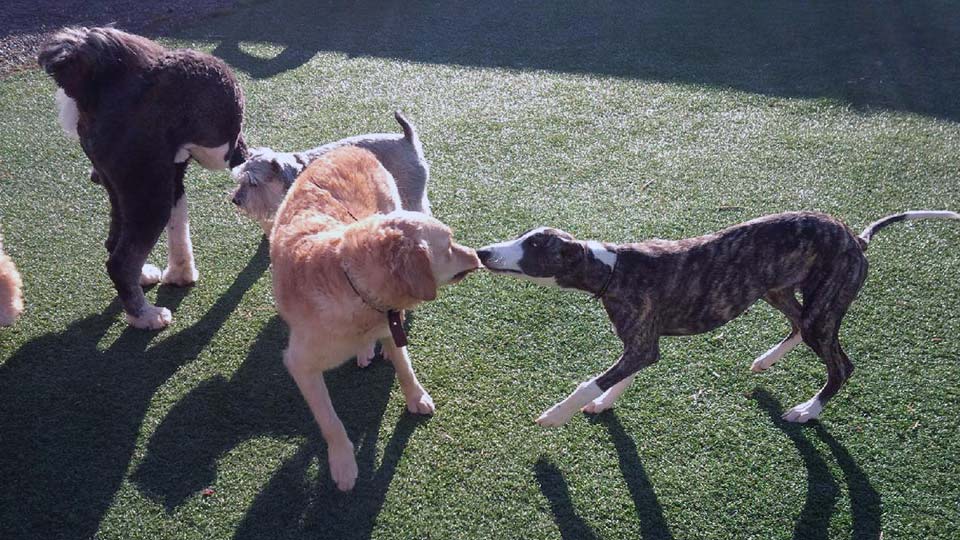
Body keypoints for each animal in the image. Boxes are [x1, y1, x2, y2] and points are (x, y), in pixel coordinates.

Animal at [39, 27, 249, 330]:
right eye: (234, 126)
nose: (240, 154)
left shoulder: (171, 178)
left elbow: (179, 227)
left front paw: (181, 273)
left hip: (125, 186)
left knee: (114, 243)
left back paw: (141, 279)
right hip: (148, 195)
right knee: (120, 262)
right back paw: (144, 315)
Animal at [270, 146, 480, 492]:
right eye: (449, 246)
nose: (479, 256)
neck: (353, 286)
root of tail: (350, 147)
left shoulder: (390, 323)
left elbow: (405, 368)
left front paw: (416, 397)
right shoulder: (300, 365)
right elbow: (331, 421)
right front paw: (343, 463)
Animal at [480, 211, 960, 426]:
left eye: (533, 247)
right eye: (524, 237)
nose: (483, 252)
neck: (613, 266)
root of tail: (855, 239)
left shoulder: (643, 343)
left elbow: (591, 380)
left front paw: (555, 415)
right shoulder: (644, 345)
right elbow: (624, 374)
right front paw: (605, 401)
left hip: (824, 309)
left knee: (841, 365)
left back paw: (807, 410)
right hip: (780, 292)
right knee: (796, 325)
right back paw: (766, 361)